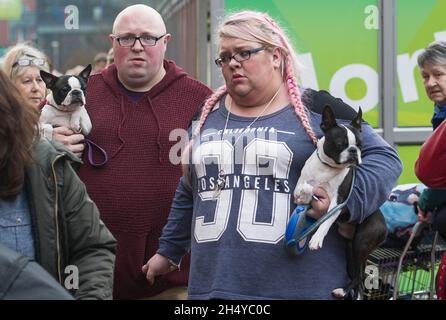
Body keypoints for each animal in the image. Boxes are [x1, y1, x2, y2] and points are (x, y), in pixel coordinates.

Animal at [294, 105, 386, 300]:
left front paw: (316, 239)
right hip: (350, 249)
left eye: (360, 145)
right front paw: (308, 191)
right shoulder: (298, 188)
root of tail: (386, 228)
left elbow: (325, 222)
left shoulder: (337, 202)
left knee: (360, 276)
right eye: (339, 144)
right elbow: (305, 187)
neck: (328, 167)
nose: (353, 151)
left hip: (361, 242)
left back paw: (342, 291)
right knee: (358, 277)